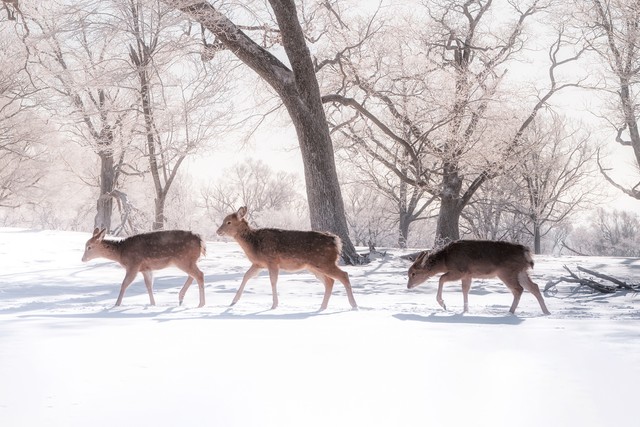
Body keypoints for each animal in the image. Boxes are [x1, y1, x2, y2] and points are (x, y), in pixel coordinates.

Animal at [216, 206, 358, 310]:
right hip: (315, 266)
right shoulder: (258, 264)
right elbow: (246, 276)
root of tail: (337, 241)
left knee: (344, 275)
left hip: (325, 262)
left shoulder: (272, 260)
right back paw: (322, 307)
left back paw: (354, 305)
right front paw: (233, 301)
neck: (254, 244)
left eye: (228, 222)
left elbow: (273, 281)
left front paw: (274, 305)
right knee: (330, 281)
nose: (218, 231)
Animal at [410, 239, 552, 316]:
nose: (408, 286)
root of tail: (527, 253)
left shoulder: (460, 270)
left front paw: (443, 304)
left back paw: (510, 312)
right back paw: (546, 312)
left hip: (506, 272)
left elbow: (441, 279)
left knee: (518, 289)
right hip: (520, 271)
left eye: (413, 273)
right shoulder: (467, 274)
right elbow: (465, 290)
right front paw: (465, 310)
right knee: (534, 287)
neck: (445, 260)